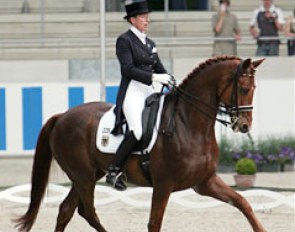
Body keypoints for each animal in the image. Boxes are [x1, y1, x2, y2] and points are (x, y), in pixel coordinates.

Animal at [15, 56, 266, 232]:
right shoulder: (163, 185)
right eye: (244, 89)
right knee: (88, 211)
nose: (244, 126)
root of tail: (62, 116)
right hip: (82, 176)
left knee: (67, 210)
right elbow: (154, 223)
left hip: (88, 175)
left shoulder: (205, 182)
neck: (188, 124)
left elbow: (243, 202)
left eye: (254, 89)